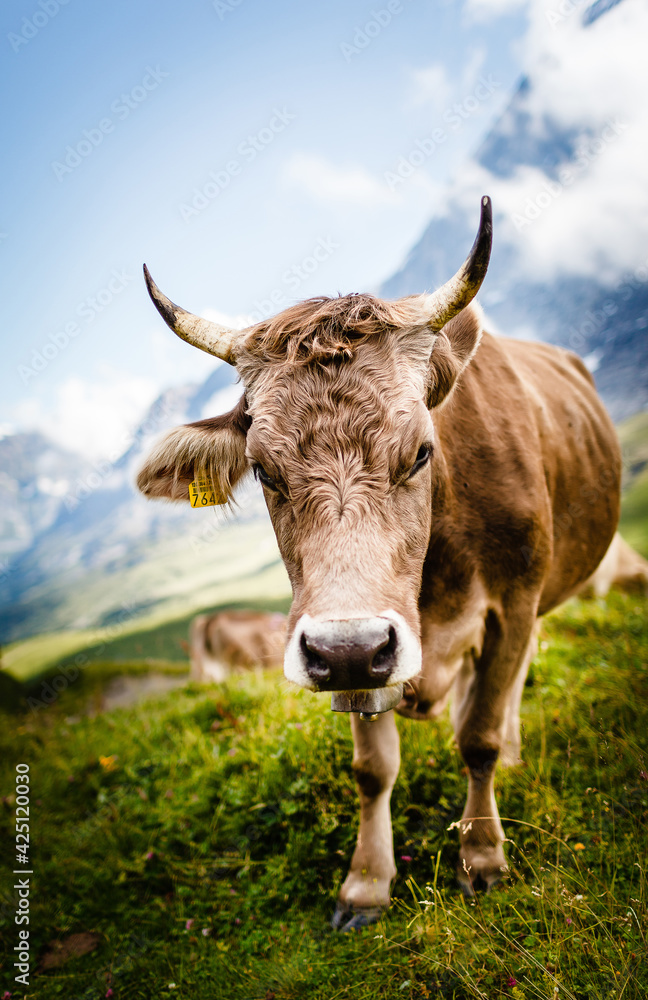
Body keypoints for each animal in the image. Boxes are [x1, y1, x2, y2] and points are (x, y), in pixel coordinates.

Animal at [139, 195, 624, 928]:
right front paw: (366, 883)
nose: (348, 649)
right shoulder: (349, 639)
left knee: (508, 687)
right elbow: (373, 770)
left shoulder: (510, 600)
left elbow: (478, 737)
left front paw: (483, 856)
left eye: (421, 451)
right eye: (263, 470)